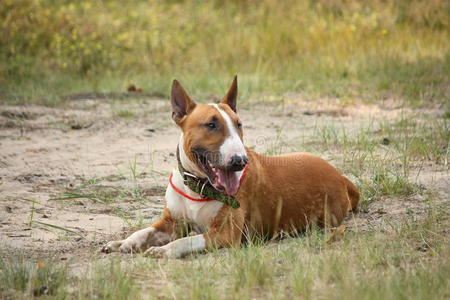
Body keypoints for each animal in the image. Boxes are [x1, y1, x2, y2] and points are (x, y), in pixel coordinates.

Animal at [101, 75, 358, 258]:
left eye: (239, 124)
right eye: (211, 124)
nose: (240, 161)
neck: (198, 186)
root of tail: (340, 176)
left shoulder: (226, 234)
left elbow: (187, 240)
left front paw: (165, 250)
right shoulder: (171, 222)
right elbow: (144, 231)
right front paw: (123, 242)